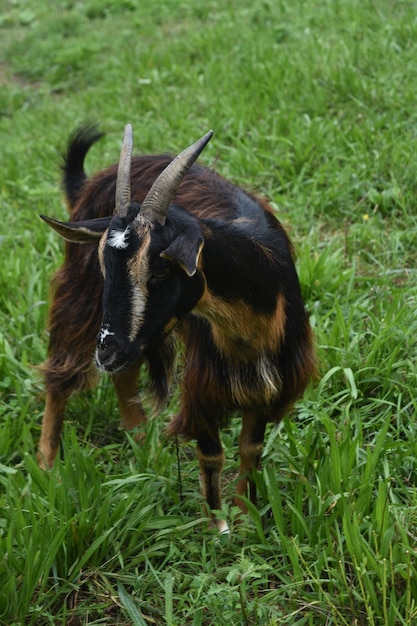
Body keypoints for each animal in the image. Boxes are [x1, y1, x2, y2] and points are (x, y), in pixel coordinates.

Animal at [39, 124, 314, 528]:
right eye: (104, 266)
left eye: (160, 270)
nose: (106, 352)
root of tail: (97, 177)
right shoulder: (204, 385)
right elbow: (212, 453)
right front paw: (218, 525)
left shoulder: (268, 382)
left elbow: (251, 447)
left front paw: (245, 515)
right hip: (82, 294)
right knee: (62, 370)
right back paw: (46, 464)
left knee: (125, 373)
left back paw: (145, 448)